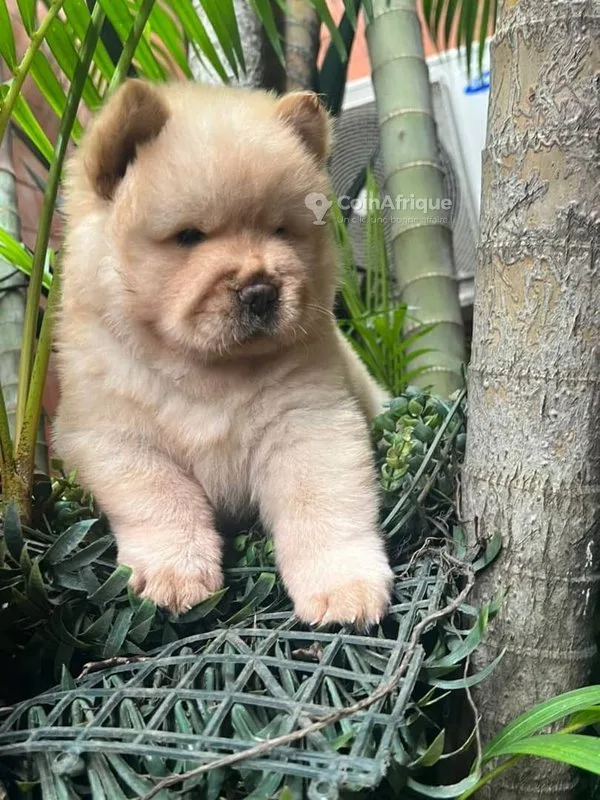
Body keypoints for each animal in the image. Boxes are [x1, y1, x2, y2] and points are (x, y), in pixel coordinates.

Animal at [53, 79, 394, 626]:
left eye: (281, 230)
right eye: (190, 236)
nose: (260, 290)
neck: (207, 369)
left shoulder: (309, 418)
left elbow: (322, 502)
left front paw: (343, 588)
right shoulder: (111, 436)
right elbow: (161, 497)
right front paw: (176, 574)